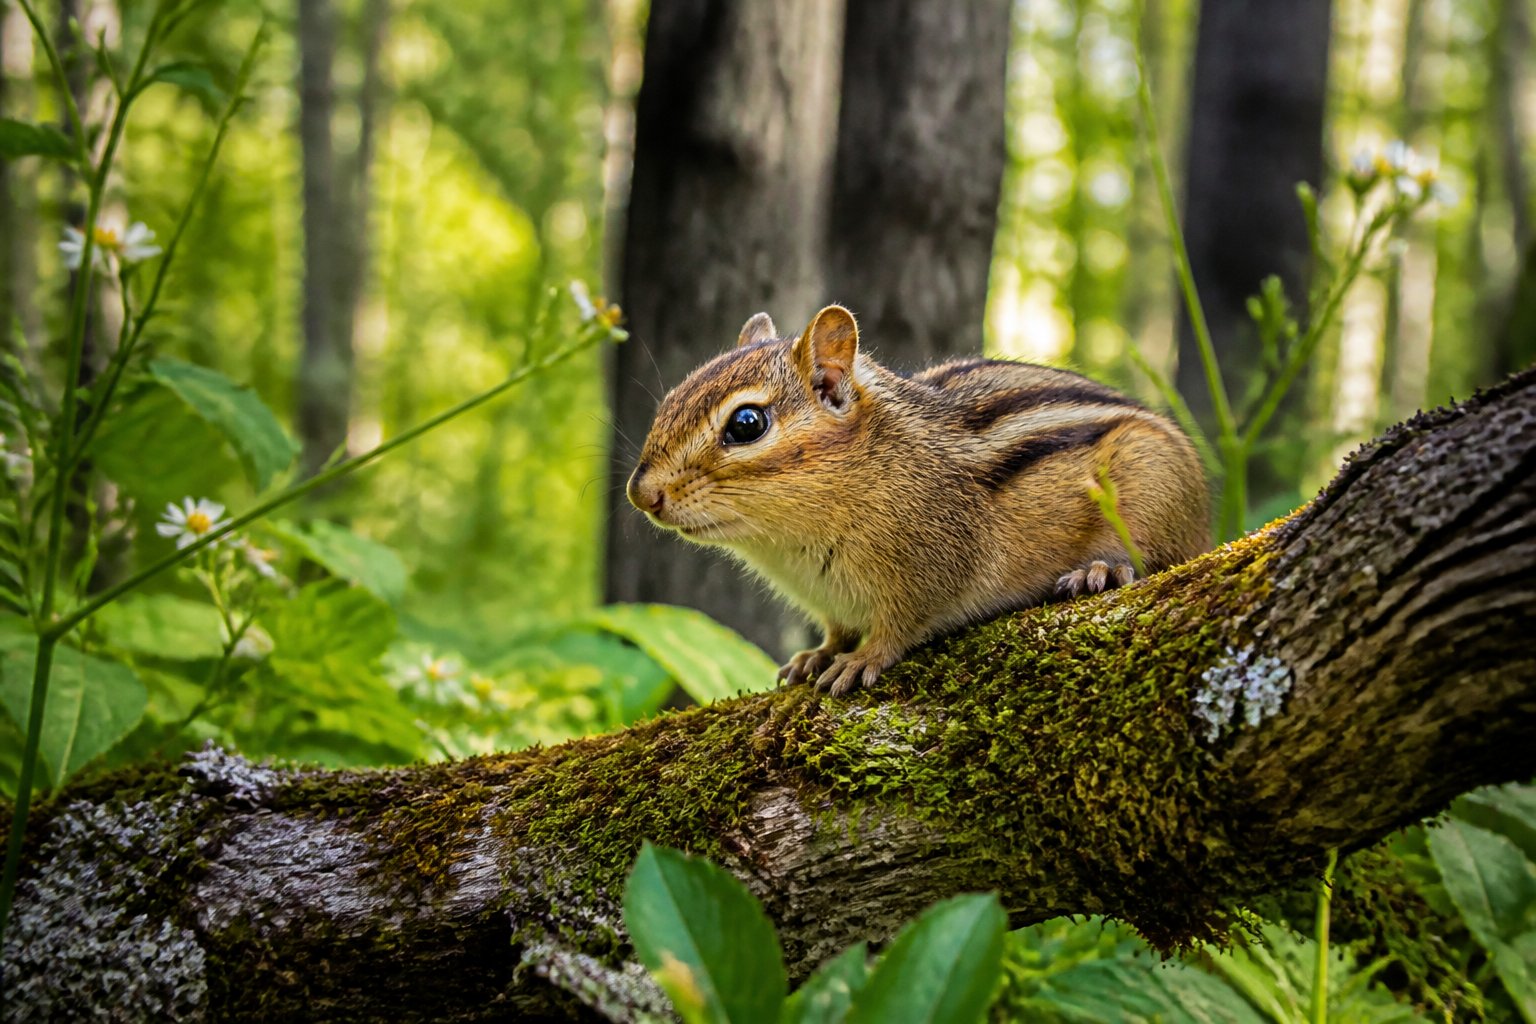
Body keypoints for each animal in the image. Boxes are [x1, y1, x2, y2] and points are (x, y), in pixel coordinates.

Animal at [626, 304, 1210, 696]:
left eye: (747, 423)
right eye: (672, 397)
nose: (642, 493)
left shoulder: (936, 564)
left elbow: (900, 627)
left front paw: (860, 659)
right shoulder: (831, 602)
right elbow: (836, 631)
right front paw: (816, 656)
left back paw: (1101, 571)